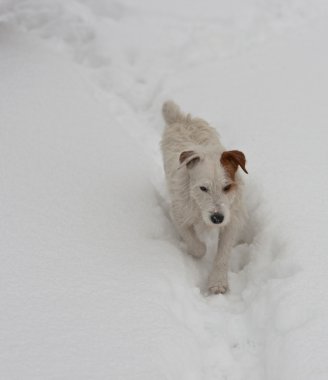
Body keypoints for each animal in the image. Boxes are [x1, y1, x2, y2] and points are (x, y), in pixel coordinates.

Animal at [160, 101, 247, 294]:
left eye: (227, 187)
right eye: (203, 188)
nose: (217, 218)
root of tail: (181, 119)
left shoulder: (231, 220)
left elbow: (223, 254)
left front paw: (218, 282)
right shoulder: (180, 215)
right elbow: (195, 244)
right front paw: (200, 248)